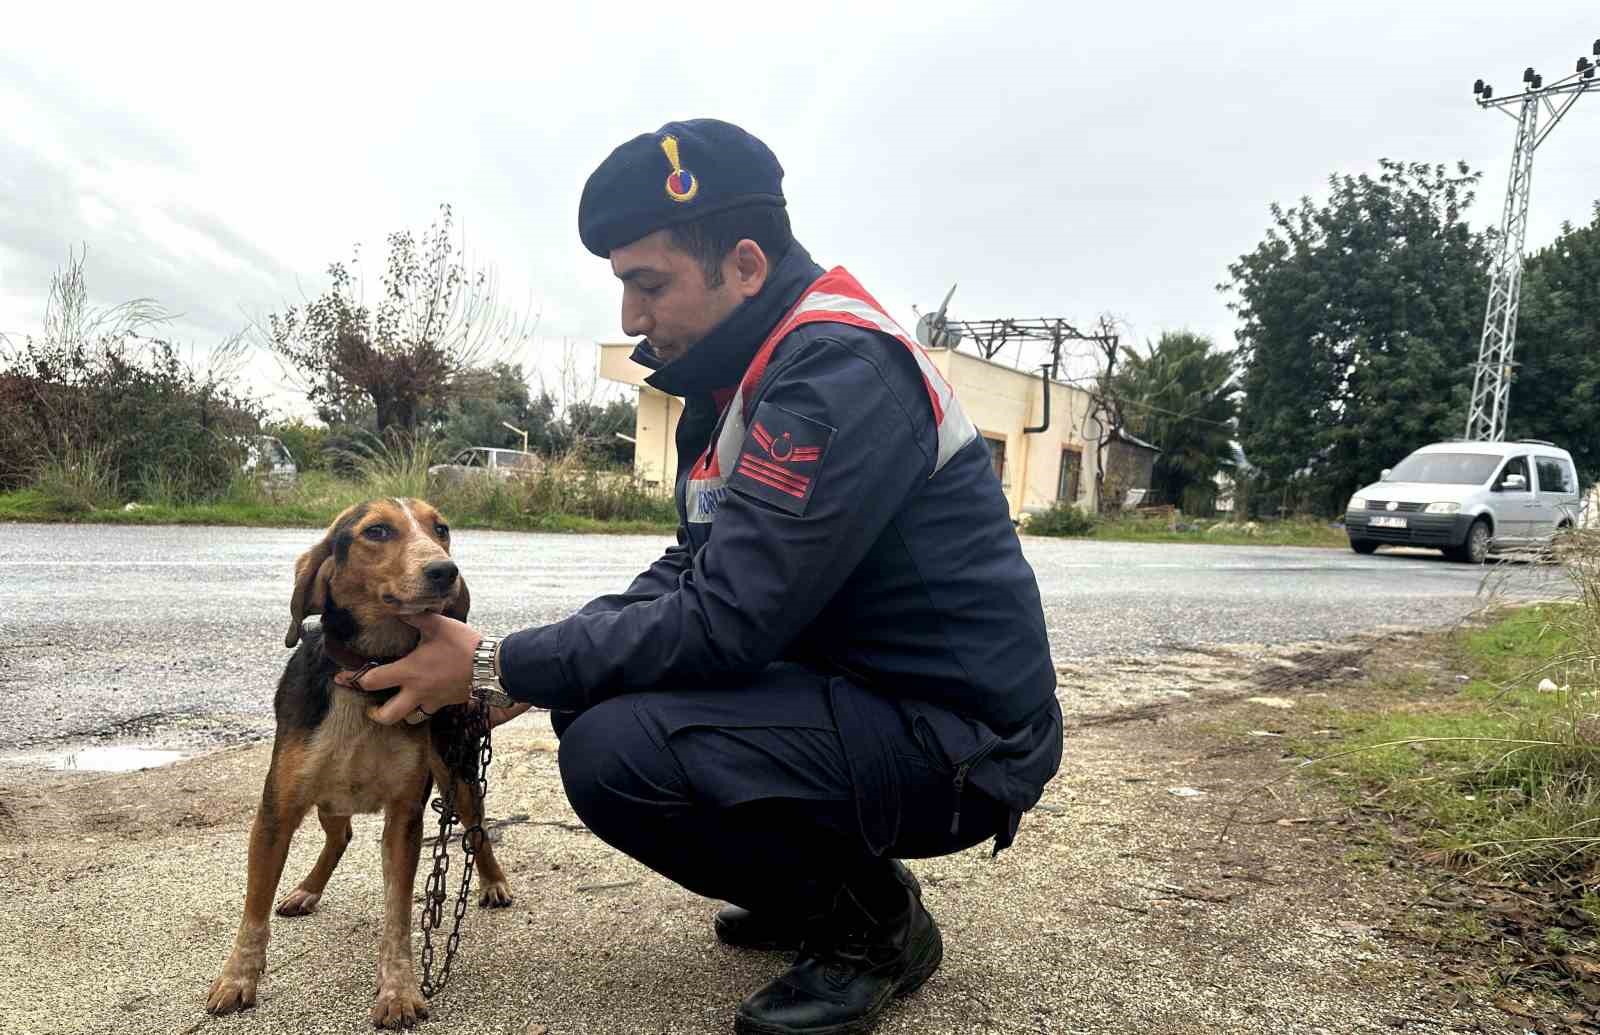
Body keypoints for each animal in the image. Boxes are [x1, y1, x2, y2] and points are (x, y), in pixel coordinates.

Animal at [203, 499, 508, 1030]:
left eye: (441, 528)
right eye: (378, 531)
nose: (445, 571)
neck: (369, 675)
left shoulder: (405, 816)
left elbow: (398, 917)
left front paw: (399, 991)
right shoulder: (276, 810)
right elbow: (254, 910)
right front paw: (238, 979)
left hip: (458, 775)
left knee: (476, 831)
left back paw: (492, 881)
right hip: (327, 797)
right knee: (340, 835)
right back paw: (307, 889)